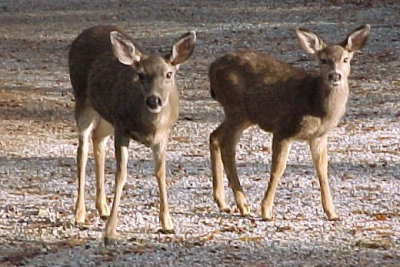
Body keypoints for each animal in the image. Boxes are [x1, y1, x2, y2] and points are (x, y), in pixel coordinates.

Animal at [69, 25, 197, 245]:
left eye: (169, 74)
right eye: (141, 75)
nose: (154, 100)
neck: (151, 127)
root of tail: (85, 32)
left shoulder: (163, 136)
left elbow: (161, 173)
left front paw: (168, 224)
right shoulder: (122, 127)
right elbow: (121, 175)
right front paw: (110, 232)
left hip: (106, 117)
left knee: (98, 140)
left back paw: (102, 208)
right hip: (83, 101)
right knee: (82, 151)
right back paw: (80, 214)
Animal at [208, 25, 370, 222]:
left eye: (345, 59)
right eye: (323, 60)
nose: (335, 75)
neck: (315, 104)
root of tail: (212, 68)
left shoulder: (319, 136)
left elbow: (322, 169)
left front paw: (332, 212)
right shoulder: (283, 129)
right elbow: (278, 169)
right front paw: (266, 211)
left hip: (244, 116)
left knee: (214, 136)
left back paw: (222, 202)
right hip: (236, 109)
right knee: (227, 147)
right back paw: (243, 205)